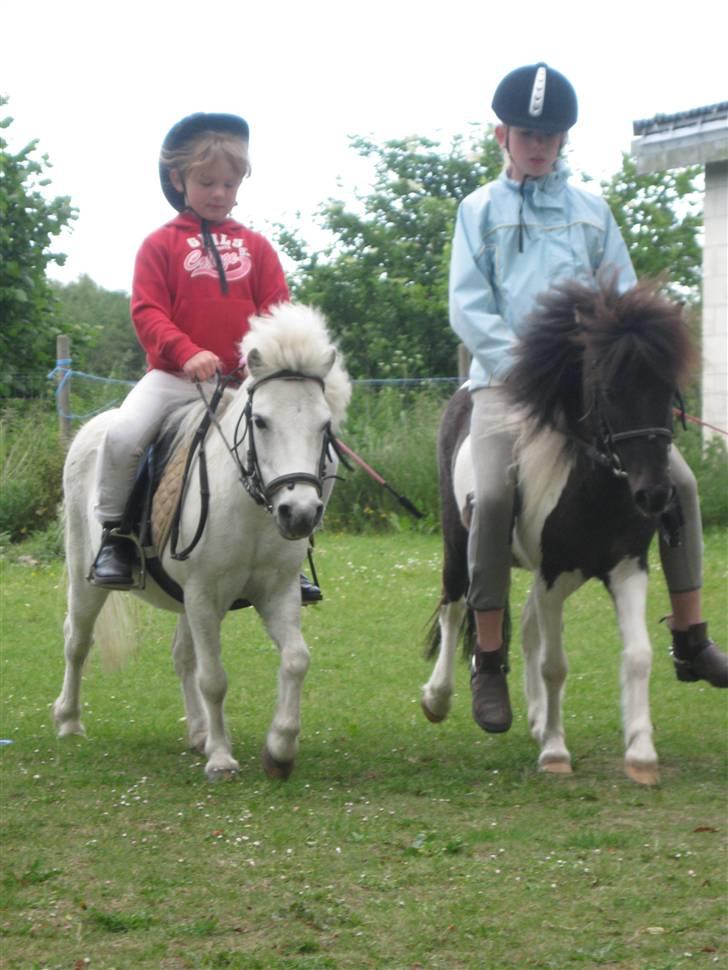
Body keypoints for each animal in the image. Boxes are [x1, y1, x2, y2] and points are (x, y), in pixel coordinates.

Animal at [54, 302, 352, 780]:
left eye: (325, 425)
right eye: (261, 421)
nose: (300, 513)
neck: (250, 508)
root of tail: (89, 431)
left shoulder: (276, 593)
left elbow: (295, 659)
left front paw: (280, 749)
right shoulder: (203, 595)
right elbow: (214, 678)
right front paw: (222, 758)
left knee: (181, 656)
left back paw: (197, 733)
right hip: (86, 580)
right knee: (77, 641)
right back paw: (68, 721)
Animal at [420, 276, 692, 784]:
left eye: (668, 389)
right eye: (608, 390)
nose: (654, 495)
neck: (594, 484)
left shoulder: (627, 568)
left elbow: (639, 654)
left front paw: (641, 753)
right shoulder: (552, 572)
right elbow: (554, 664)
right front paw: (555, 752)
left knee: (525, 624)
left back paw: (535, 718)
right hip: (459, 544)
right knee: (455, 607)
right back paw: (439, 698)